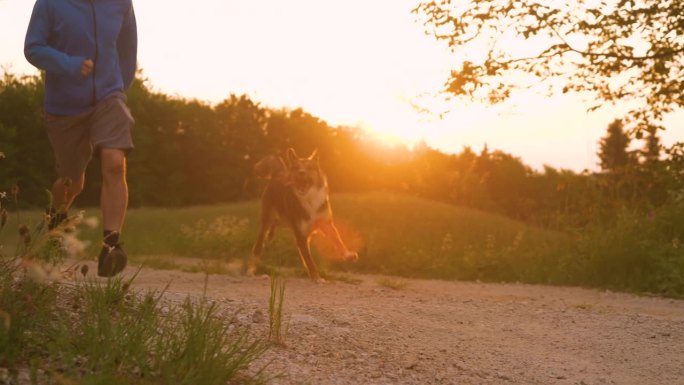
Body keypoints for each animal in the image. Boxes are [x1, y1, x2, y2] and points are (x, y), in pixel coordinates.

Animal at [250, 147, 358, 280]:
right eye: (296, 167)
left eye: (309, 167)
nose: (301, 173)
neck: (309, 197)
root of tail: (277, 174)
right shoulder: (300, 235)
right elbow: (309, 260)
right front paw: (317, 278)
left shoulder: (327, 224)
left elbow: (338, 241)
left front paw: (348, 255)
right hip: (266, 220)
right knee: (258, 245)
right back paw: (251, 270)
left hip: (282, 220)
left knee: (275, 224)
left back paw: (271, 234)